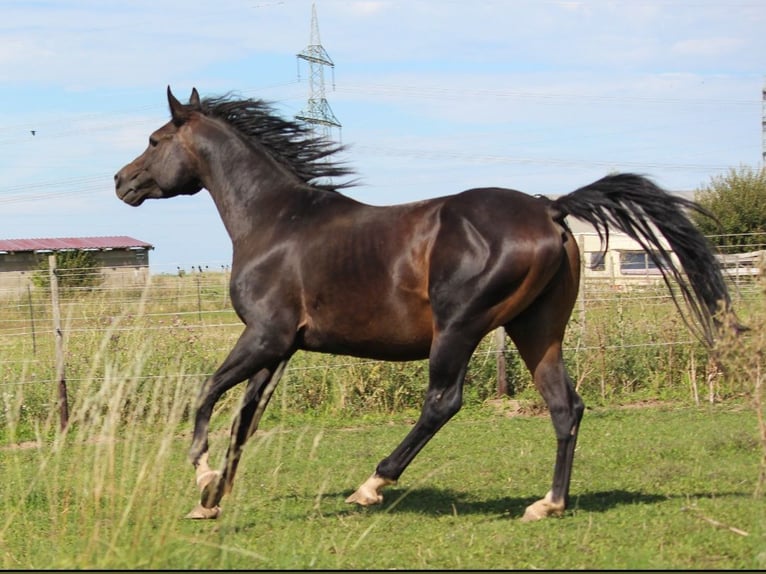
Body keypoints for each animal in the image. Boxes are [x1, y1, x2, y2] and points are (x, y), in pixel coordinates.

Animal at [115, 87, 736, 521]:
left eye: (154, 140)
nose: (122, 182)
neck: (276, 221)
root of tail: (550, 208)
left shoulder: (265, 335)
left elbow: (205, 395)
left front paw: (201, 475)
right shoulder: (282, 348)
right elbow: (245, 417)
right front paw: (212, 499)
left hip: (459, 327)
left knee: (443, 401)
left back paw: (370, 487)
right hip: (536, 330)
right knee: (566, 406)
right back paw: (548, 504)